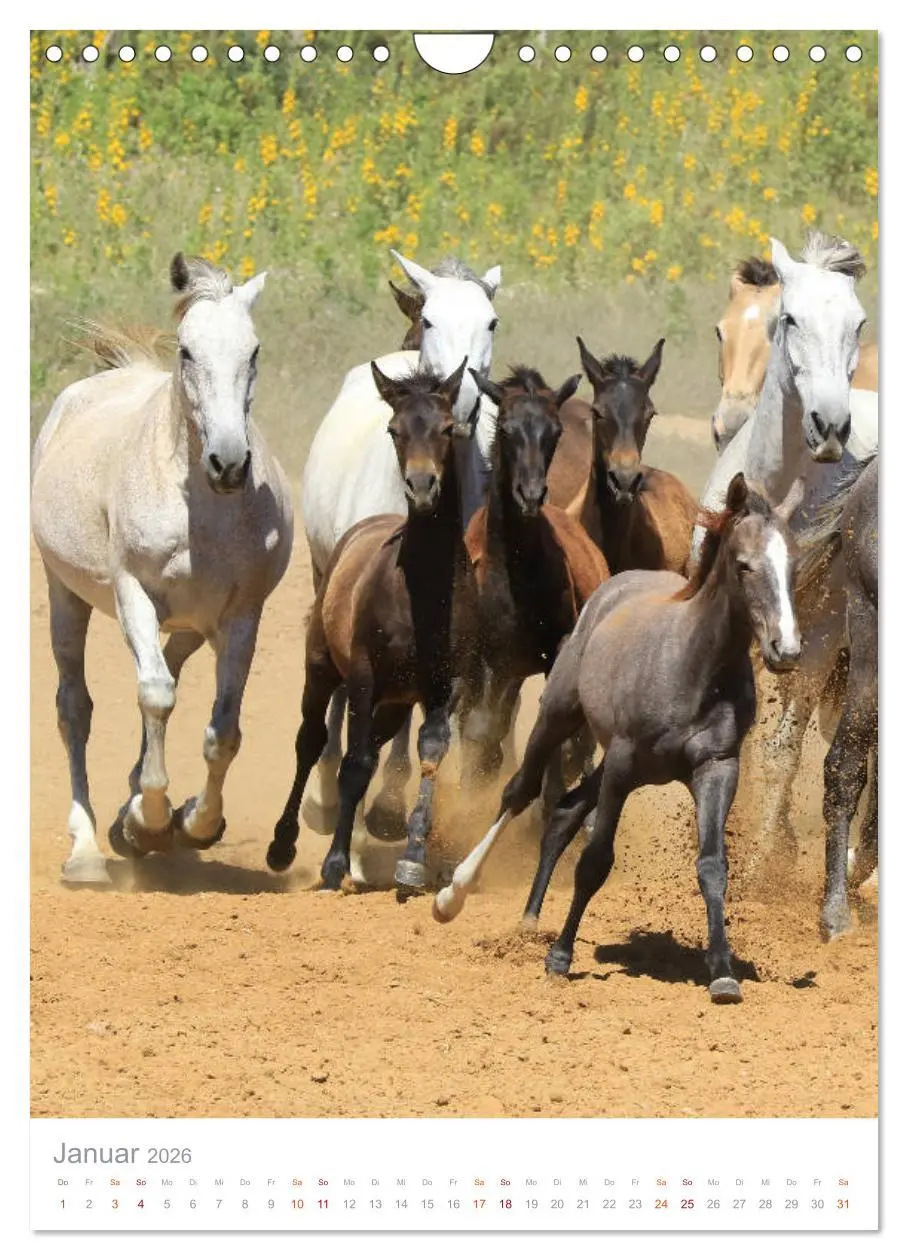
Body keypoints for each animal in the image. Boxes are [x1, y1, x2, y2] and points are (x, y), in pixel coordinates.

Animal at [31, 254, 294, 885]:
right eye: (187, 351)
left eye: (254, 351)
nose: (229, 462)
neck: (201, 510)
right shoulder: (134, 594)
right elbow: (154, 696)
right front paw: (146, 822)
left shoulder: (241, 615)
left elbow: (223, 732)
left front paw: (196, 821)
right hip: (64, 595)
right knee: (75, 708)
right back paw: (86, 851)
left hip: (193, 626)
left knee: (170, 669)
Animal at [268, 361, 482, 895]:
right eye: (394, 429)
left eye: (447, 427)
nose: (422, 486)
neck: (423, 592)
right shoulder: (364, 678)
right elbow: (355, 764)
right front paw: (334, 864)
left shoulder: (443, 685)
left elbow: (429, 754)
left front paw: (412, 862)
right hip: (323, 669)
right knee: (311, 741)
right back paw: (284, 845)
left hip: (394, 702)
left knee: (373, 746)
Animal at [434, 473, 805, 1004]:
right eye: (744, 564)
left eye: (793, 565)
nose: (785, 649)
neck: (693, 666)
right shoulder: (625, 764)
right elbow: (594, 861)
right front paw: (560, 958)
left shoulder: (716, 768)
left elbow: (713, 866)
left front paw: (723, 971)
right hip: (561, 718)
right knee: (519, 793)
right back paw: (455, 893)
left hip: (613, 763)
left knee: (564, 812)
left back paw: (529, 920)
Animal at [458, 366, 609, 783]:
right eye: (507, 428)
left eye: (554, 431)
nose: (530, 494)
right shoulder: (481, 658)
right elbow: (478, 728)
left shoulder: (555, 649)